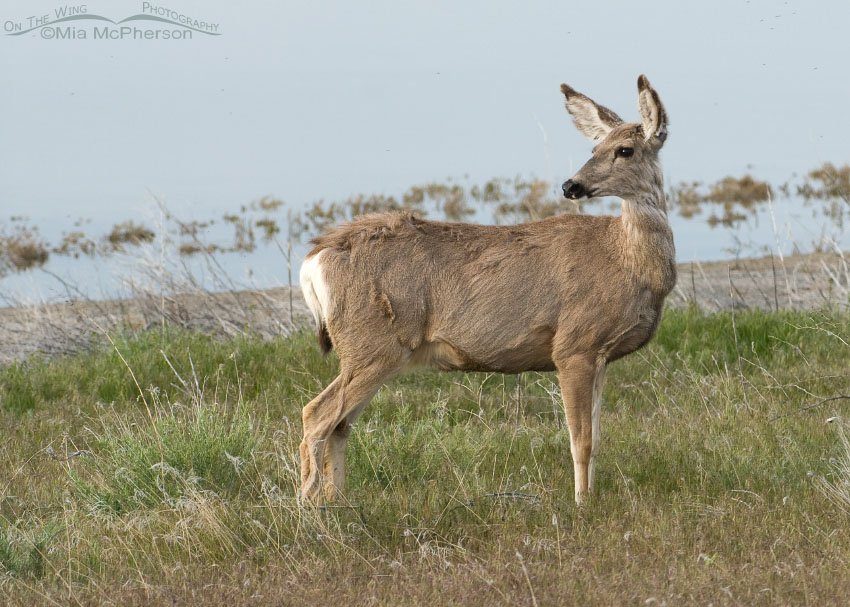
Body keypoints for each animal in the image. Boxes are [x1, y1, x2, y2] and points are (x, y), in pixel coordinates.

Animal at [298, 75, 675, 506]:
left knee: (340, 424)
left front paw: (590, 499)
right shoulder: (575, 343)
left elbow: (596, 438)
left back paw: (338, 503)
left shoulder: (601, 355)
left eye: (624, 150)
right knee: (317, 414)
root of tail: (314, 259)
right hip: (371, 342)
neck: (628, 262)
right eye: (595, 148)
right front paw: (582, 505)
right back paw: (307, 505)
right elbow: (581, 440)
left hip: (370, 350)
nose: (571, 185)